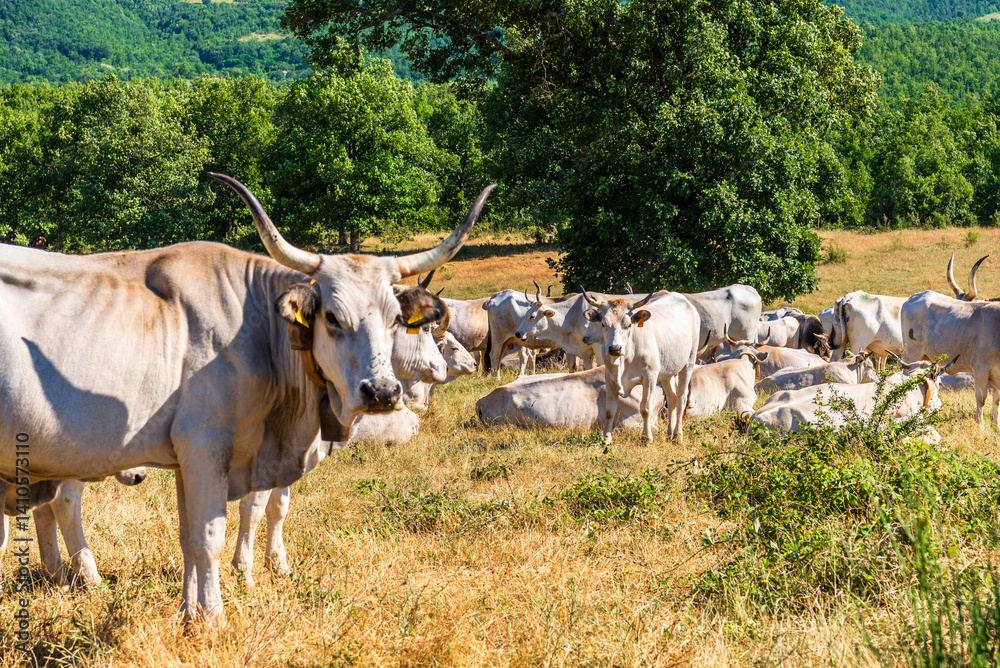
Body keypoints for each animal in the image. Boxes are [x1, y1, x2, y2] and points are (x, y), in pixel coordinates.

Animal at [0, 174, 495, 623]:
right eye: (332, 317)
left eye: (396, 318)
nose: (382, 391)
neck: (255, 325)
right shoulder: (206, 447)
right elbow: (211, 537)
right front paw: (215, 618)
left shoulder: (193, 457)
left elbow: (191, 535)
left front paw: (191, 614)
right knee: (63, 506)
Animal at [582, 289, 701, 443]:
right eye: (603, 324)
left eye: (628, 325)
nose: (615, 348)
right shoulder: (610, 377)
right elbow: (609, 410)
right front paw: (606, 438)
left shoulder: (649, 377)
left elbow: (645, 408)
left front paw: (647, 437)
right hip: (667, 372)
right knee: (672, 397)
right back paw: (670, 433)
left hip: (688, 363)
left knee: (681, 398)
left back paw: (678, 435)